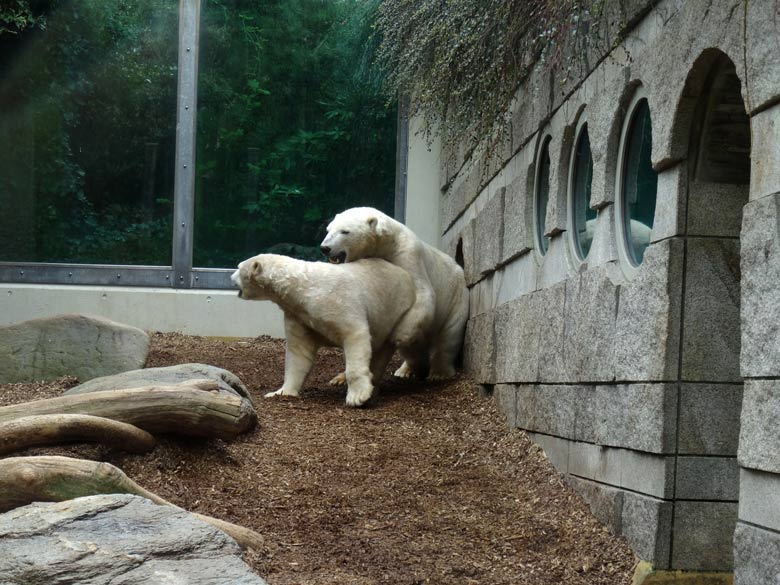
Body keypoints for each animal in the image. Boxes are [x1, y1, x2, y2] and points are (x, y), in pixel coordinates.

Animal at [232, 253, 418, 408]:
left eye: (239, 267)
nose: (230, 277)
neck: (302, 289)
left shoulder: (336, 302)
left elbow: (354, 334)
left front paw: (357, 397)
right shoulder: (299, 316)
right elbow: (298, 353)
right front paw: (280, 392)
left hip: (397, 313)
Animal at [318, 205, 466, 378]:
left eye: (344, 231)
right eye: (328, 230)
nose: (325, 248)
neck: (387, 244)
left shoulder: (407, 256)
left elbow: (423, 294)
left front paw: (397, 334)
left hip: (456, 298)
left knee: (449, 336)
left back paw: (439, 372)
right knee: (413, 350)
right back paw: (406, 370)